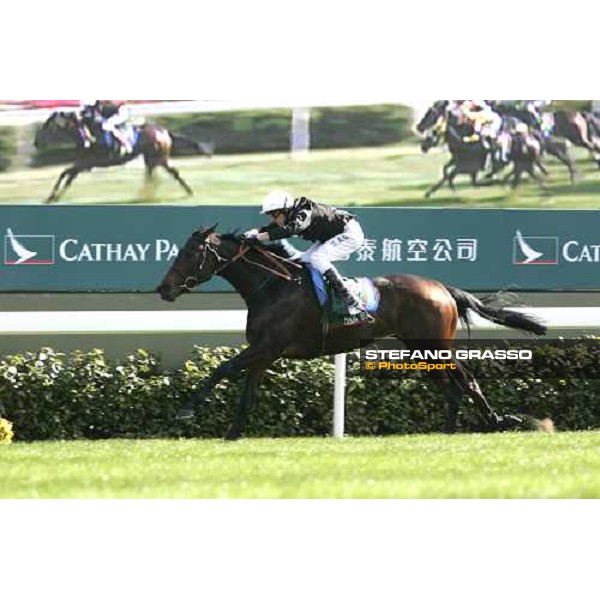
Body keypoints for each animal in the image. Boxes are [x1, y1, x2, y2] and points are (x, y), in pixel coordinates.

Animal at [34, 112, 213, 204]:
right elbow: (66, 176)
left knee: (170, 173)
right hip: (151, 159)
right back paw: (146, 196)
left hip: (158, 158)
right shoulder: (81, 164)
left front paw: (52, 197)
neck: (86, 135)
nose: (36, 143)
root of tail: (163, 131)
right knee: (153, 176)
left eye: (47, 127)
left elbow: (65, 174)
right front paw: (53, 197)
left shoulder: (86, 163)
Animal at [157, 225, 552, 440]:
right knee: (449, 387)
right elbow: (246, 395)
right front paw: (232, 435)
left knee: (466, 380)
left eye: (190, 253)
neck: (273, 286)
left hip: (435, 344)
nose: (164, 289)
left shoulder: (268, 346)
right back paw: (448, 431)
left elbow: (221, 368)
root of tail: (442, 288)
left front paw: (186, 410)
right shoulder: (263, 354)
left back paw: (497, 420)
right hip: (420, 349)